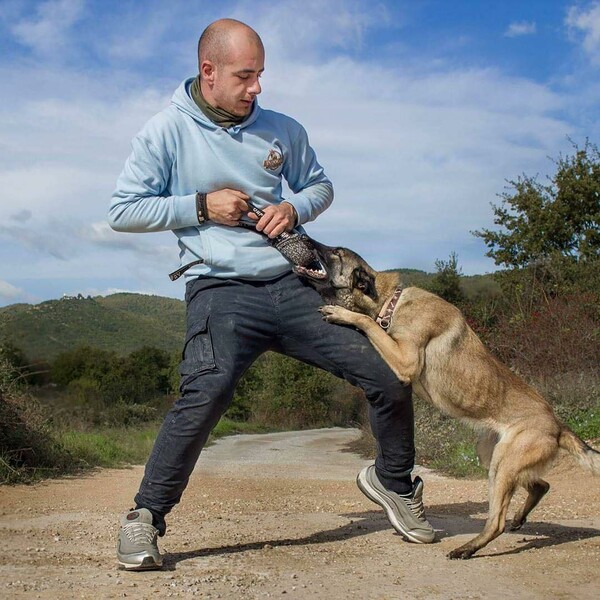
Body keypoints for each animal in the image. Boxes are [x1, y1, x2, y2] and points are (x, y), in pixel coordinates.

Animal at [296, 238, 600, 556]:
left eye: (337, 252)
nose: (304, 238)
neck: (390, 303)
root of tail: (558, 425)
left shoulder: (405, 360)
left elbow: (366, 324)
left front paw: (343, 314)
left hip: (503, 465)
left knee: (497, 521)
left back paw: (468, 548)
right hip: (492, 457)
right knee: (540, 486)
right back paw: (517, 519)